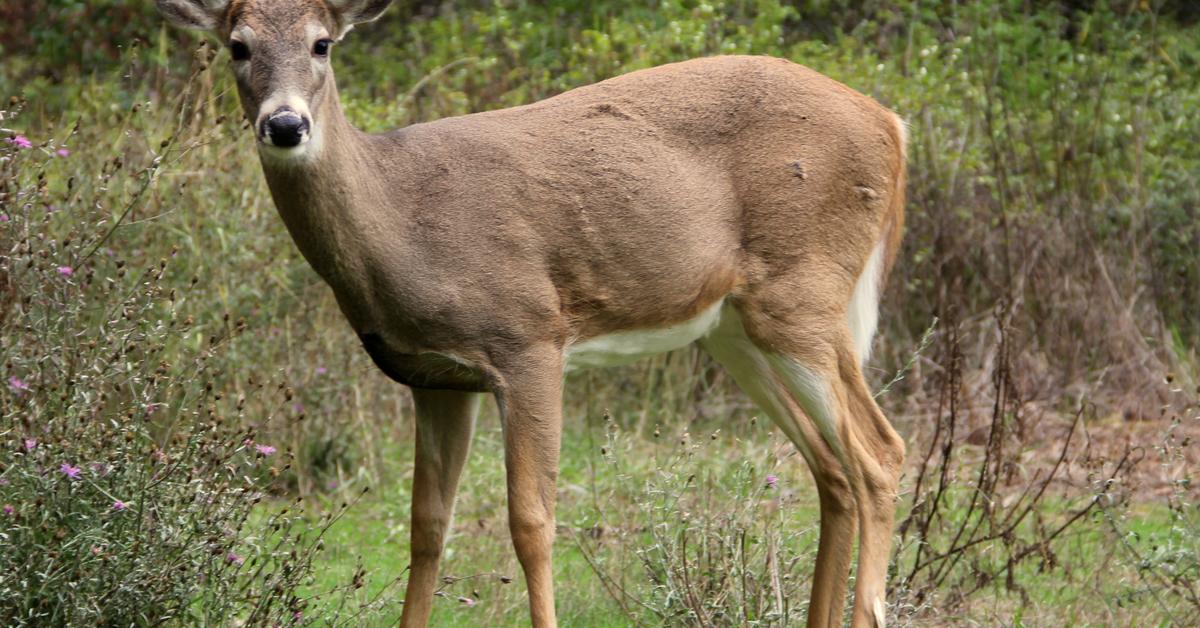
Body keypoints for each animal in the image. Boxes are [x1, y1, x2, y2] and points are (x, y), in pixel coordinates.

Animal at [159, 0, 907, 624]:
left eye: (322, 43)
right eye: (237, 46)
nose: (285, 124)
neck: (401, 220)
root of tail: (891, 124)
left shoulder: (528, 338)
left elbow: (531, 522)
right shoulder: (434, 377)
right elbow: (428, 525)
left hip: (802, 291)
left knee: (879, 455)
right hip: (733, 329)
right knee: (832, 470)